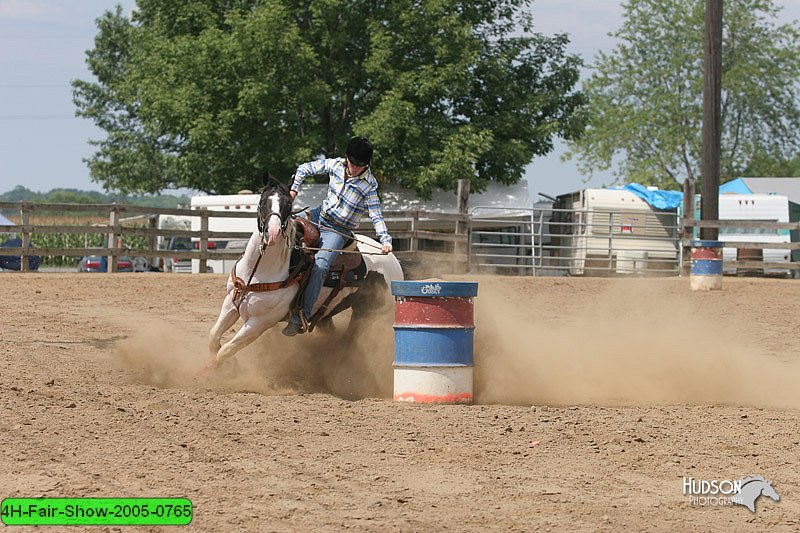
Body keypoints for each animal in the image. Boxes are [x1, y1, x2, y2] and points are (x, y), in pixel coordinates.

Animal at [205, 177, 406, 372]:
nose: (273, 233)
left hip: (365, 313)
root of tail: (394, 262)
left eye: (288, 205)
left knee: (347, 340)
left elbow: (226, 349)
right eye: (262, 202)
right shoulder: (231, 303)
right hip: (326, 313)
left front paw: (224, 368)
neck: (258, 271)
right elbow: (213, 337)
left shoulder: (261, 322)